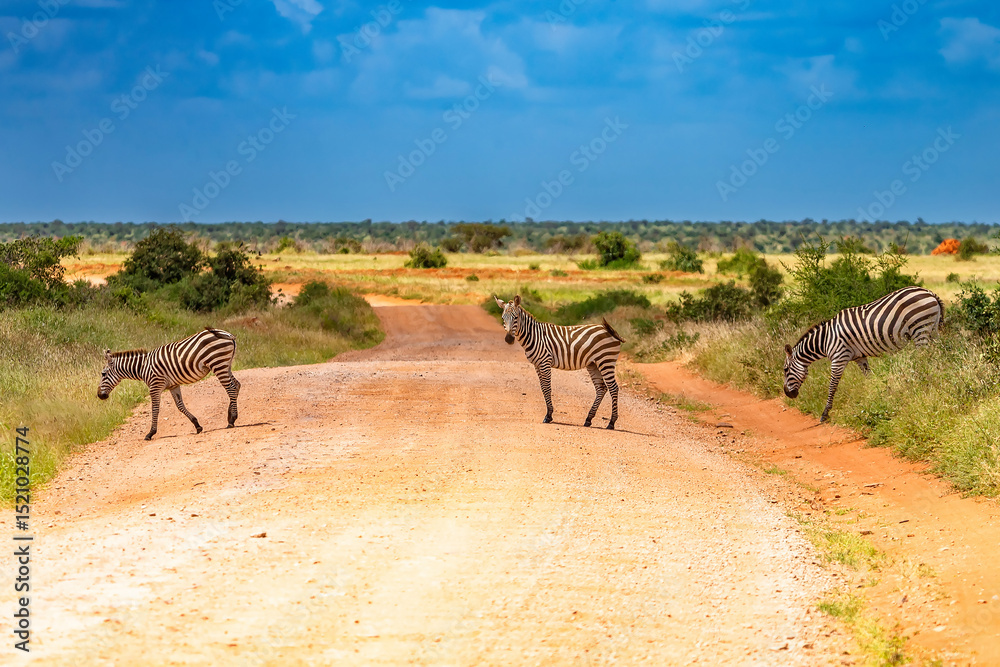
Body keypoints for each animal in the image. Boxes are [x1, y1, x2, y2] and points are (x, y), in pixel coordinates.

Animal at [97, 328, 241, 440]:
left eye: (103, 374)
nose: (99, 395)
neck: (142, 367)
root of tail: (226, 333)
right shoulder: (173, 385)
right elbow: (180, 406)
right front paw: (197, 425)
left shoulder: (155, 386)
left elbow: (155, 409)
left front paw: (150, 433)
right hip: (226, 365)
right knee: (236, 385)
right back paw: (230, 416)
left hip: (218, 363)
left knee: (231, 388)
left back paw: (232, 419)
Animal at [494, 295, 624, 429]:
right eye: (503, 318)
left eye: (516, 317)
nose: (509, 339)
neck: (534, 336)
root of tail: (609, 330)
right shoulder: (537, 365)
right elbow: (543, 388)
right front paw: (549, 414)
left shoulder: (545, 362)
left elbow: (547, 388)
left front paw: (548, 416)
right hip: (593, 364)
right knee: (601, 388)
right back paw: (588, 419)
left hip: (606, 361)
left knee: (613, 388)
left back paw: (611, 422)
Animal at [783, 286, 944, 422]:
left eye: (785, 370)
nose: (787, 394)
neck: (825, 340)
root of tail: (929, 292)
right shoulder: (860, 358)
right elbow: (870, 377)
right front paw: (881, 395)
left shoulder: (839, 358)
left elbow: (832, 385)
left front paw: (825, 413)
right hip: (933, 330)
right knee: (938, 358)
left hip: (920, 329)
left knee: (924, 361)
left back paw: (920, 383)